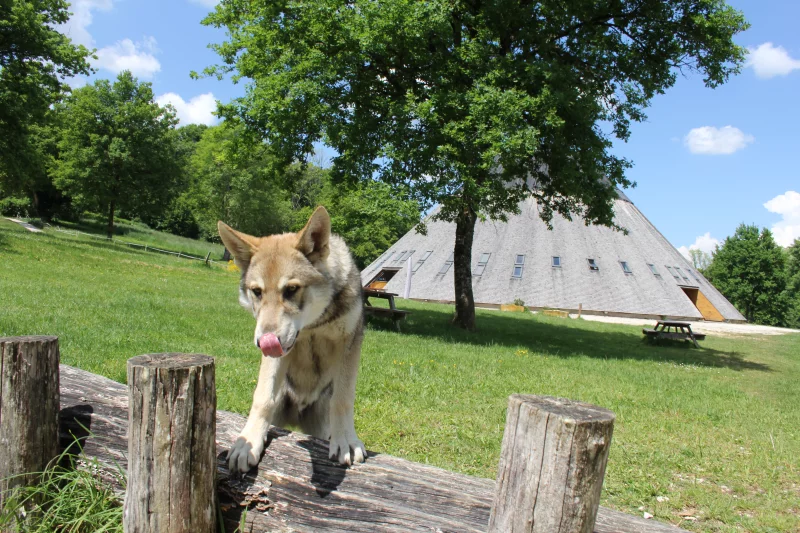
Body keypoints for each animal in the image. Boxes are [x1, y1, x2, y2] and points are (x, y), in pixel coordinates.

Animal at [217, 207, 367, 474]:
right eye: (257, 292)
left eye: (291, 289)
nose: (264, 341)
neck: (313, 325)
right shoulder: (279, 353)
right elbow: (262, 397)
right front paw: (248, 442)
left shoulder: (349, 344)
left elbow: (342, 399)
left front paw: (346, 441)